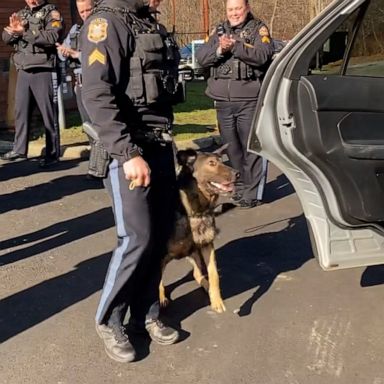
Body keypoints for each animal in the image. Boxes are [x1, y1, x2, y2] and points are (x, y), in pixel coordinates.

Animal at [158, 148, 237, 314]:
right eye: (211, 163)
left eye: (221, 160)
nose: (237, 174)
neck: (195, 212)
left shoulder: (207, 246)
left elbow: (214, 275)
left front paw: (216, 300)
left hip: (195, 252)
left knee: (196, 273)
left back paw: (206, 285)